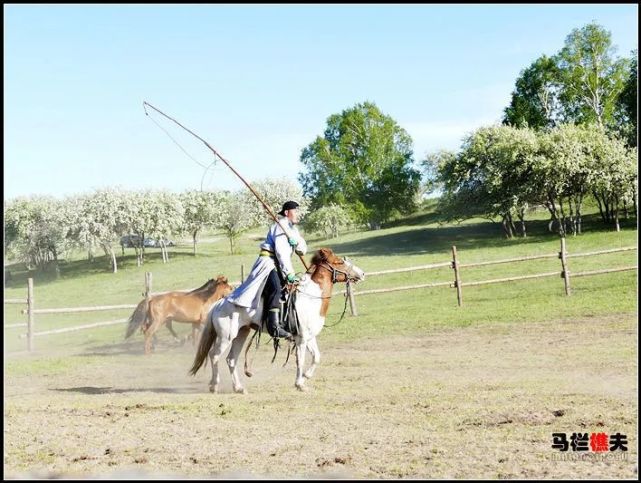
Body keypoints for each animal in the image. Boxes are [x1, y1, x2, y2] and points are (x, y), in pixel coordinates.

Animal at [189, 250, 364, 394]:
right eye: (339, 262)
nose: (361, 273)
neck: (311, 297)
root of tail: (219, 304)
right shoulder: (301, 339)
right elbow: (300, 360)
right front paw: (299, 383)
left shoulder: (309, 337)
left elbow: (316, 357)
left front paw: (306, 376)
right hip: (226, 337)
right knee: (214, 355)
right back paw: (214, 385)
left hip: (241, 334)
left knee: (231, 359)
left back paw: (238, 388)